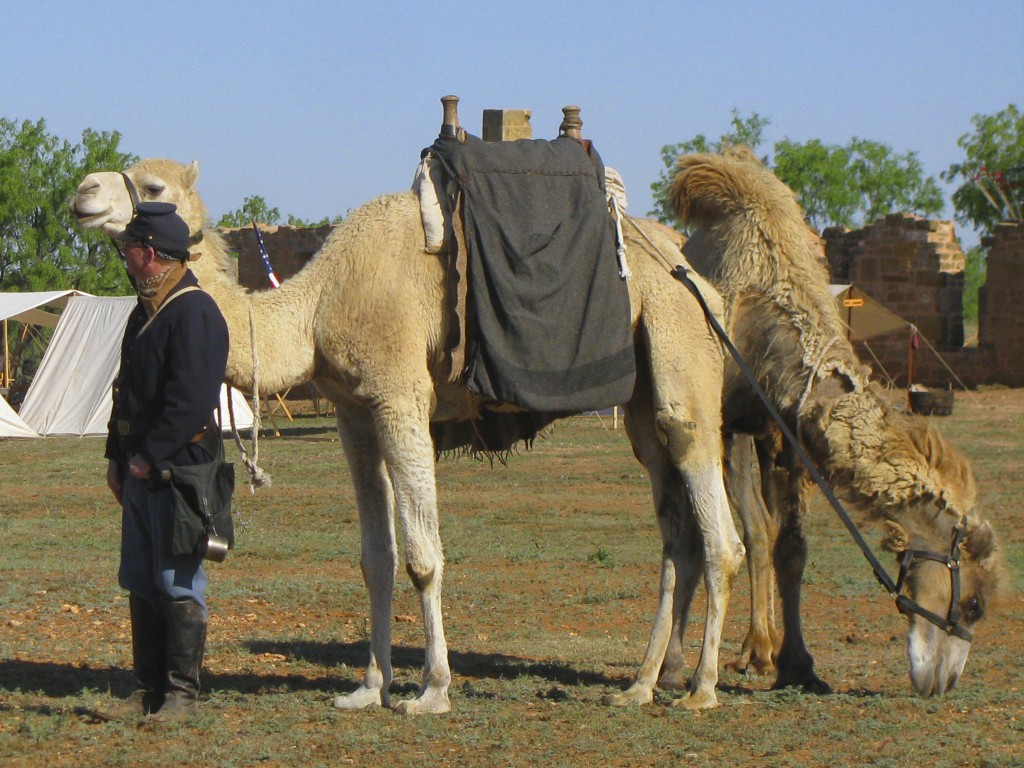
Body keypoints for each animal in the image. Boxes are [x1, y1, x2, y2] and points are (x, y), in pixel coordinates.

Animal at [72, 151, 745, 716]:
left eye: (153, 188)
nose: (83, 193)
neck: (316, 306)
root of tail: (700, 279)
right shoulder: (355, 413)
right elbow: (376, 558)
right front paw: (368, 687)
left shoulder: (401, 395)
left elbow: (423, 555)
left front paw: (432, 692)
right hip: (640, 401)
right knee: (676, 532)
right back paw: (640, 685)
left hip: (680, 350)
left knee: (719, 529)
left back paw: (703, 688)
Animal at [651, 148, 1003, 696]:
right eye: (972, 604)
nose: (942, 683)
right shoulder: (725, 422)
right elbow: (737, 531)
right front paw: (678, 666)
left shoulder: (789, 434)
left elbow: (790, 546)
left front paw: (797, 663)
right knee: (740, 525)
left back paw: (760, 649)